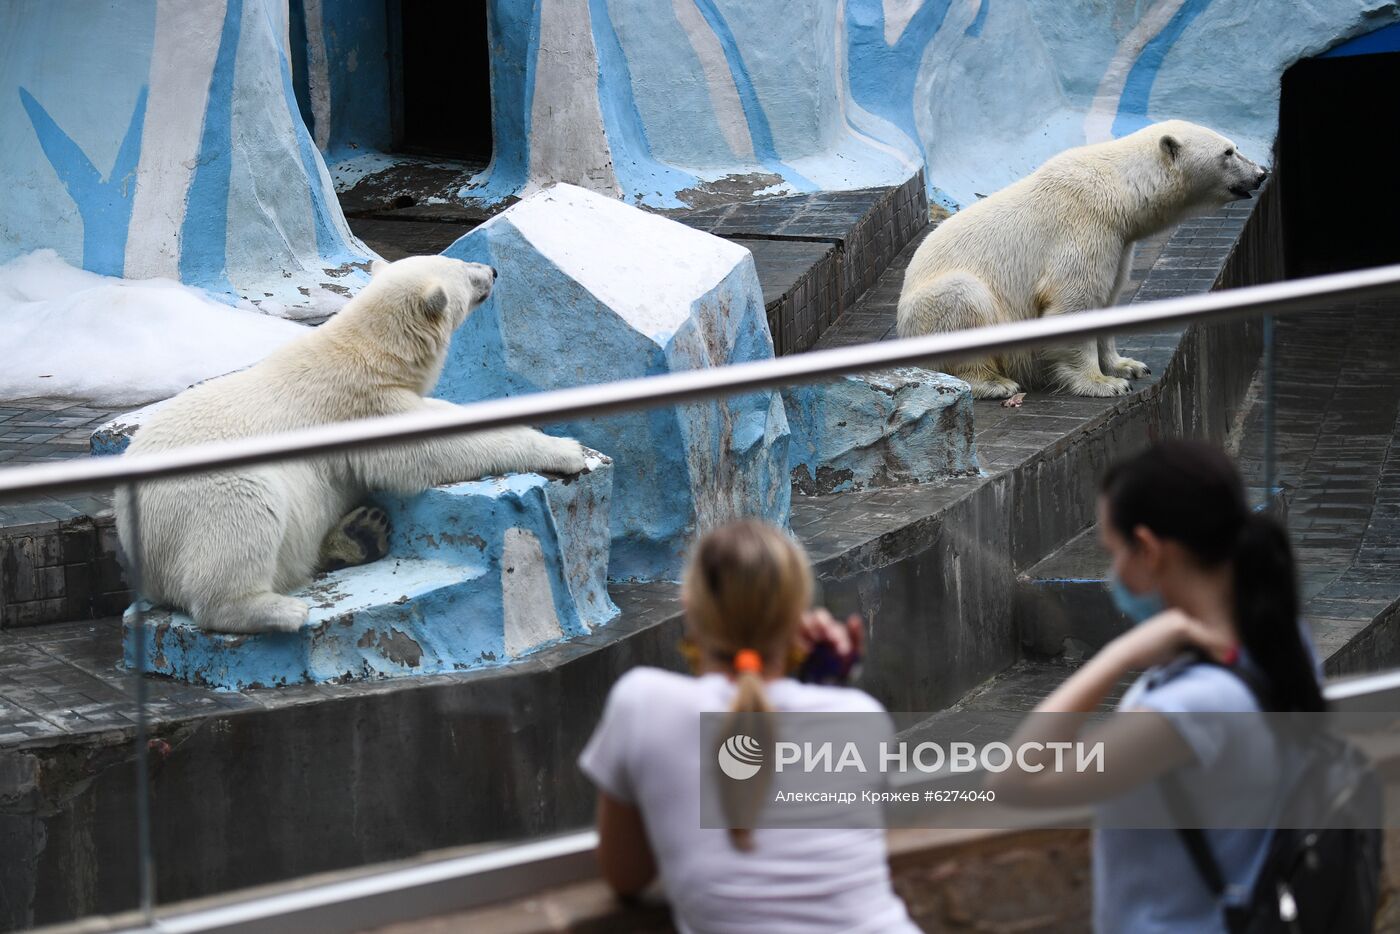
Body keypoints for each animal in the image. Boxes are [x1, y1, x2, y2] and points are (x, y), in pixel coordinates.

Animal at [112, 256, 585, 635]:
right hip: (202, 494)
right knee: (241, 520)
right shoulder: (362, 410)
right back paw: (280, 610)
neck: (370, 353)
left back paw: (360, 533)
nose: (491, 271)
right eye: (464, 272)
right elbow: (431, 450)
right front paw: (566, 450)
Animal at [896, 120, 1271, 397]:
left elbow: (1108, 297)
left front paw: (1128, 366)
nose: (1261, 173)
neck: (1118, 190)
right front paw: (1104, 383)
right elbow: (1073, 302)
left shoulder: (1119, 243)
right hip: (931, 308)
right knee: (963, 298)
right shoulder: (1084, 227)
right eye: (1228, 151)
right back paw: (994, 382)